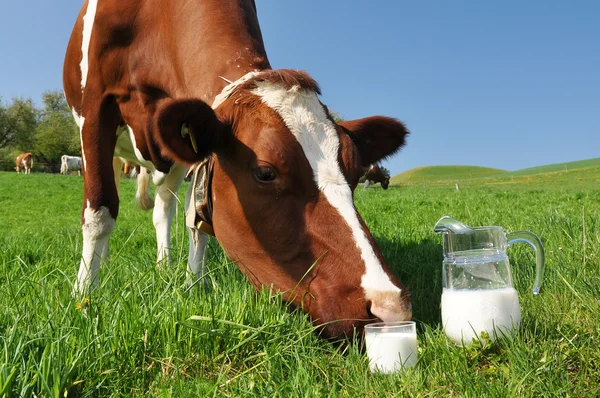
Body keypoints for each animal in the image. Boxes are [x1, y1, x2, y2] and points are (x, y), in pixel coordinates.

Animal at [64, 0, 412, 338]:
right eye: (265, 172)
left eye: (354, 172)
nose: (389, 306)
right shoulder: (95, 106)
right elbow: (100, 211)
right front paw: (84, 296)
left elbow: (197, 220)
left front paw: (193, 285)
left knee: (164, 208)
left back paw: (164, 266)